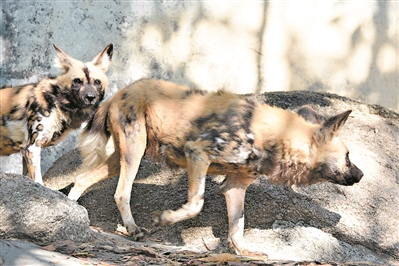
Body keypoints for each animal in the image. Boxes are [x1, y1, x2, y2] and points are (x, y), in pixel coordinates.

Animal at [0, 43, 113, 185]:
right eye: (77, 81)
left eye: (97, 82)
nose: (90, 97)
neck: (56, 103)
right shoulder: (31, 147)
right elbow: (38, 181)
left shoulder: (25, 150)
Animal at [68, 78, 362, 256]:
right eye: (348, 156)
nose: (360, 175)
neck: (275, 137)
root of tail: (119, 92)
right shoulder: (198, 153)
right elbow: (196, 204)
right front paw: (166, 219)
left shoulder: (235, 186)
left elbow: (237, 226)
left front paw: (244, 252)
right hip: (134, 152)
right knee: (121, 193)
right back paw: (133, 229)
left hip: (123, 156)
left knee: (82, 179)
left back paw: (70, 209)